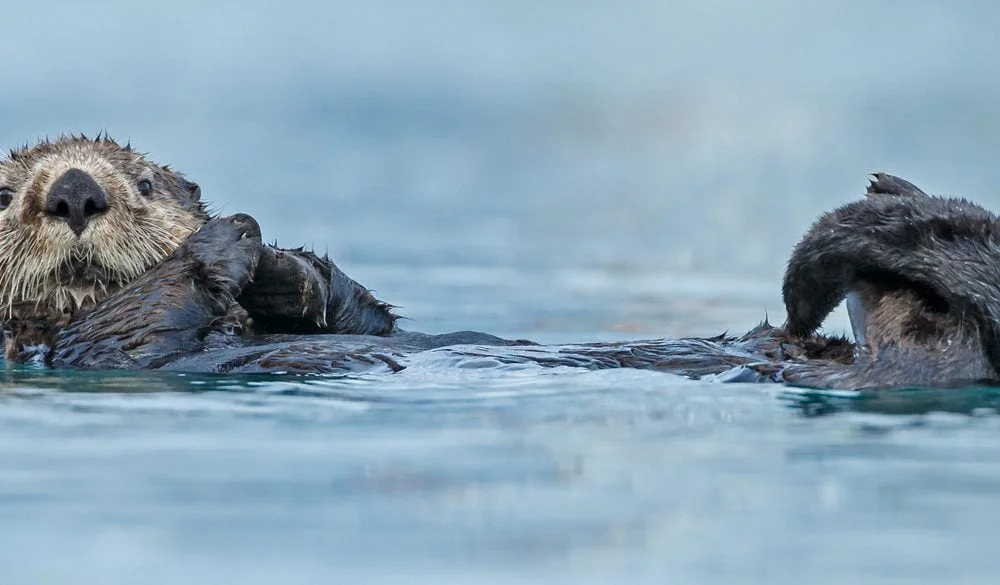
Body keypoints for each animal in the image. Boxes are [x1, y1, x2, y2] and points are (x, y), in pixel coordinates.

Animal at [1, 135, 997, 390]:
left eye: (144, 181)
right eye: (9, 192)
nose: (76, 190)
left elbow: (359, 308)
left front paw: (285, 267)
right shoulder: (85, 347)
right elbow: (133, 324)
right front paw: (227, 243)